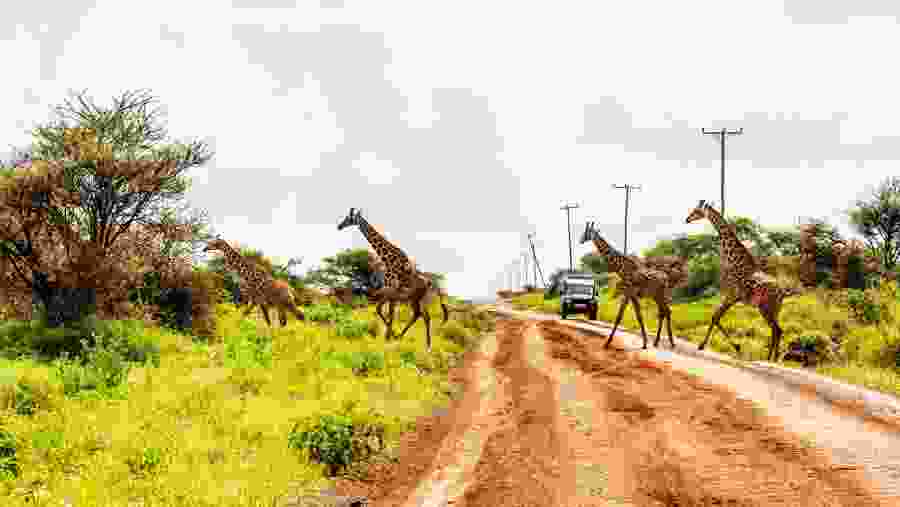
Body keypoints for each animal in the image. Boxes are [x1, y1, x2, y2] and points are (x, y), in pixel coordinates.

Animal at [337, 208, 448, 350]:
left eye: (349, 218)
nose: (339, 226)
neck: (387, 259)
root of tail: (432, 284)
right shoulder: (390, 292)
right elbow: (384, 311)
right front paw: (389, 336)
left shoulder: (391, 290)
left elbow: (387, 313)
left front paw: (389, 336)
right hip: (414, 299)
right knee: (418, 315)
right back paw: (401, 336)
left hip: (420, 298)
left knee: (425, 317)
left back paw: (427, 345)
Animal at [579, 222, 677, 350]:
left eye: (585, 232)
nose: (580, 240)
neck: (621, 268)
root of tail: (666, 278)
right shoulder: (631, 295)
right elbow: (638, 316)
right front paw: (645, 343)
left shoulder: (628, 293)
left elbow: (620, 317)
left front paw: (607, 343)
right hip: (656, 296)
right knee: (663, 312)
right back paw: (657, 342)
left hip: (661, 294)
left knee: (667, 311)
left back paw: (671, 342)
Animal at [685, 200, 802, 361]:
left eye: (696, 211)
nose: (687, 219)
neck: (733, 260)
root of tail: (782, 292)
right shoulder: (731, 296)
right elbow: (716, 317)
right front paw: (735, 347)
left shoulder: (732, 295)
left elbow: (715, 317)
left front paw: (706, 345)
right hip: (773, 309)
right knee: (777, 330)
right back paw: (771, 358)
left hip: (766, 308)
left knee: (777, 330)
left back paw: (770, 359)